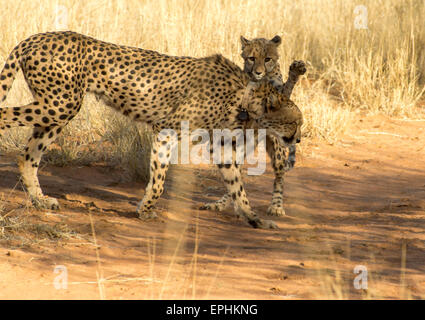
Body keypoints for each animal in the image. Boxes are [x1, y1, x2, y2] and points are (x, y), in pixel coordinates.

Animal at [0, 31, 302, 228]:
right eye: (295, 122)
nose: (298, 138)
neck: (246, 97)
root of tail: (34, 37)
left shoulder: (221, 145)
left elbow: (236, 183)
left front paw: (253, 218)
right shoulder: (166, 129)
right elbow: (158, 178)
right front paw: (145, 209)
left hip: (58, 111)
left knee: (27, 156)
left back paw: (40, 201)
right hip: (59, 104)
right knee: (6, 117)